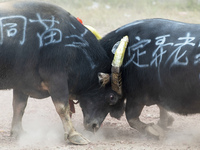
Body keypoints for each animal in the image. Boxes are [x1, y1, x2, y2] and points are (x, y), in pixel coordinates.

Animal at [0, 0, 120, 144]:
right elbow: (63, 108)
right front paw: (74, 135)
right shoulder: (57, 80)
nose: (95, 126)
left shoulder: (22, 83)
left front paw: (18, 132)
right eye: (112, 97)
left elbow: (19, 106)